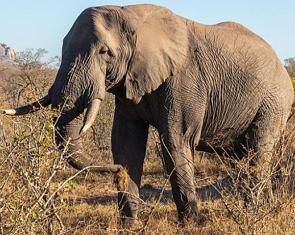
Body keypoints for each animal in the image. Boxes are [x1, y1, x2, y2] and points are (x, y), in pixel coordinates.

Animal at [1, 3, 294, 225]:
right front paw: (129, 224)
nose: (116, 170)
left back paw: (254, 211)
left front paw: (192, 224)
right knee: (244, 157)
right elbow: (125, 142)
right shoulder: (129, 82)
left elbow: (175, 142)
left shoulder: (184, 81)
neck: (131, 16)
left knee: (258, 152)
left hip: (274, 102)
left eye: (104, 52)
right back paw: (264, 208)